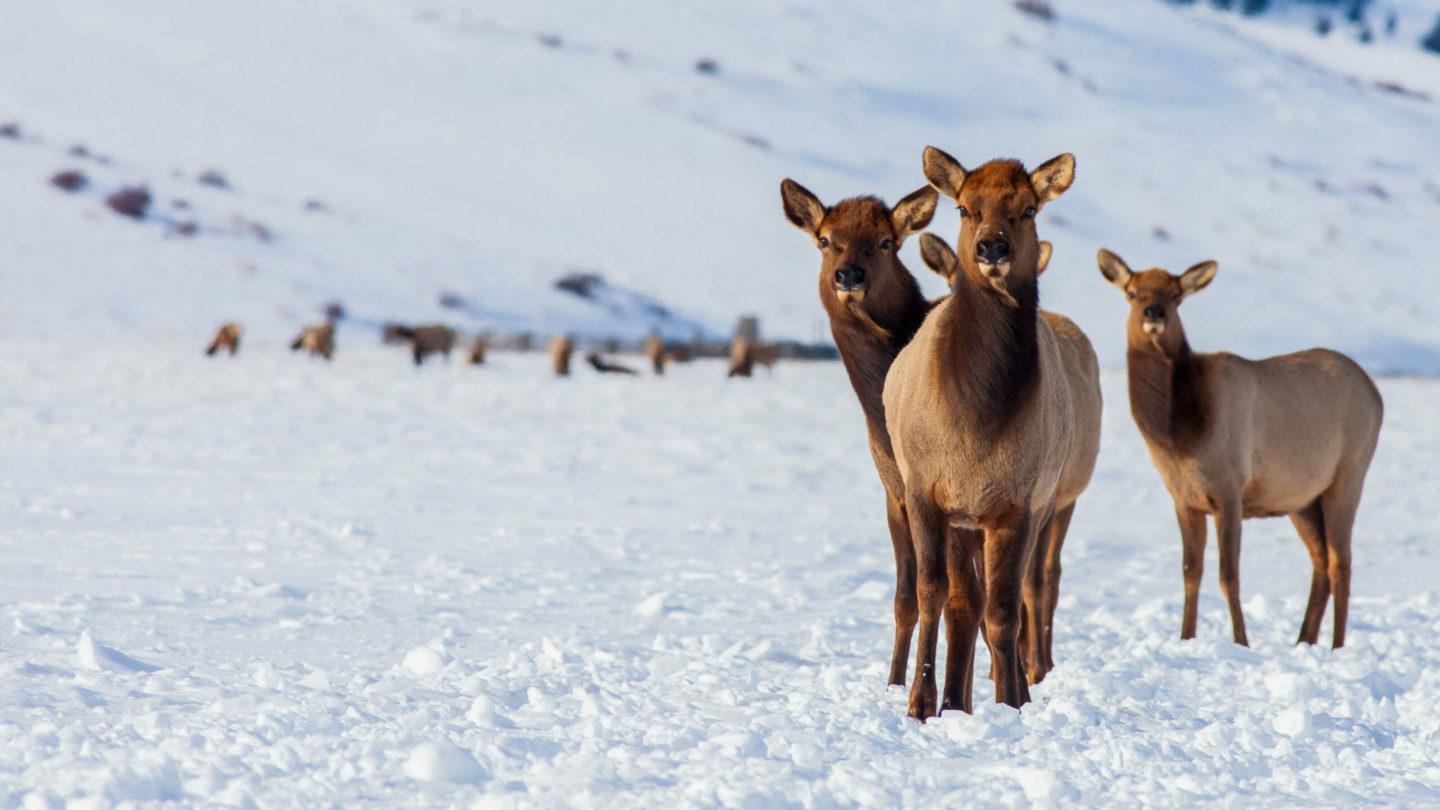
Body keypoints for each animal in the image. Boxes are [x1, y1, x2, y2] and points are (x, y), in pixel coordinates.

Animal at [783, 176, 938, 686]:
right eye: (825, 239)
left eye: (887, 241)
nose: (848, 275)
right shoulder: (893, 491)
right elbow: (904, 599)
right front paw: (893, 682)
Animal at [881, 146, 1077, 711]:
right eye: (965, 208)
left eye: (1028, 208)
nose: (992, 246)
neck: (978, 418)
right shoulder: (925, 491)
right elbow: (932, 593)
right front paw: (921, 702)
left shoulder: (1017, 502)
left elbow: (1005, 611)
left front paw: (1011, 702)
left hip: (1036, 507)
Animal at [910, 233, 1100, 680]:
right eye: (946, 280)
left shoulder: (1045, 497)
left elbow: (1032, 581)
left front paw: (1034, 666)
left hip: (1067, 496)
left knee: (1048, 575)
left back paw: (1039, 658)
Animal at [1100, 249, 1382, 645]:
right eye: (1132, 292)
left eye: (1175, 295)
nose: (1153, 314)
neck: (1177, 438)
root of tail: (1376, 394)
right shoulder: (1184, 499)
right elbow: (1190, 572)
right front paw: (1185, 638)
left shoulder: (1228, 491)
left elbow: (1228, 575)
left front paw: (1241, 641)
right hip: (1301, 498)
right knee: (1320, 562)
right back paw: (1303, 641)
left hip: (1349, 473)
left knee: (1341, 563)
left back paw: (1335, 646)